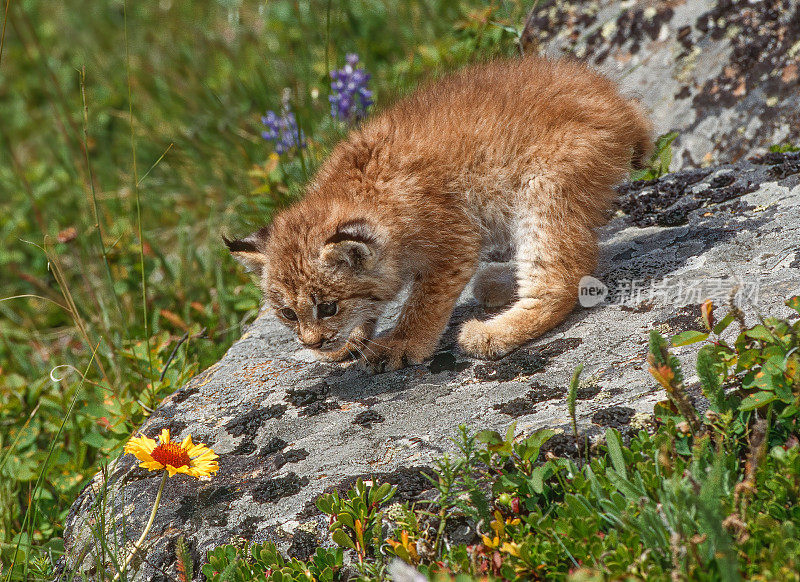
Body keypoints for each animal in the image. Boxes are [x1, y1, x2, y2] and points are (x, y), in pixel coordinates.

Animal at [225, 57, 648, 372]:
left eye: (327, 307)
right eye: (287, 314)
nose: (312, 341)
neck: (353, 192)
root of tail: (613, 97)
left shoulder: (456, 238)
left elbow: (424, 301)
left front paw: (403, 342)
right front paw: (353, 341)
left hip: (543, 185)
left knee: (565, 274)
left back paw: (494, 333)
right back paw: (499, 283)